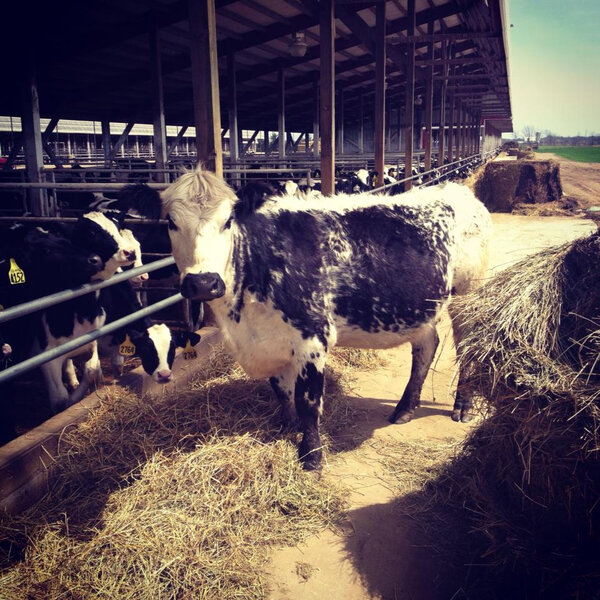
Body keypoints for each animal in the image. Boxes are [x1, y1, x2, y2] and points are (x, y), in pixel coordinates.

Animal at [136, 164, 491, 470]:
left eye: (228, 221)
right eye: (171, 222)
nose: (203, 282)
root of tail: (456, 189)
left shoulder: (312, 338)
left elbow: (308, 400)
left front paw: (312, 456)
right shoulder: (271, 341)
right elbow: (281, 391)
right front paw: (285, 428)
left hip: (469, 292)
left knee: (469, 344)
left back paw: (463, 405)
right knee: (427, 344)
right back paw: (405, 407)